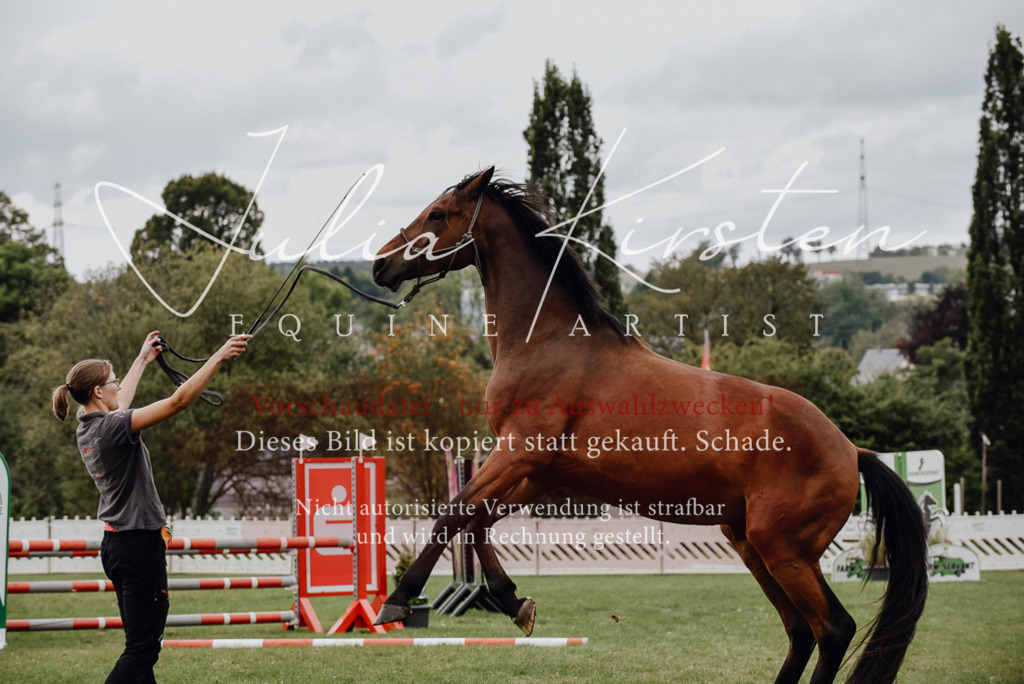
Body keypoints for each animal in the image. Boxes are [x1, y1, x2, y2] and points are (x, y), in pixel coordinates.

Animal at [370, 167, 928, 684]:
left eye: (437, 214)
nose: (380, 264)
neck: (547, 342)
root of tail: (851, 450)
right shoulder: (539, 472)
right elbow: (477, 520)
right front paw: (514, 602)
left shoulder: (518, 453)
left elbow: (452, 514)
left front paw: (398, 600)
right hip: (752, 544)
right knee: (800, 630)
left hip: (784, 550)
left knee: (832, 629)